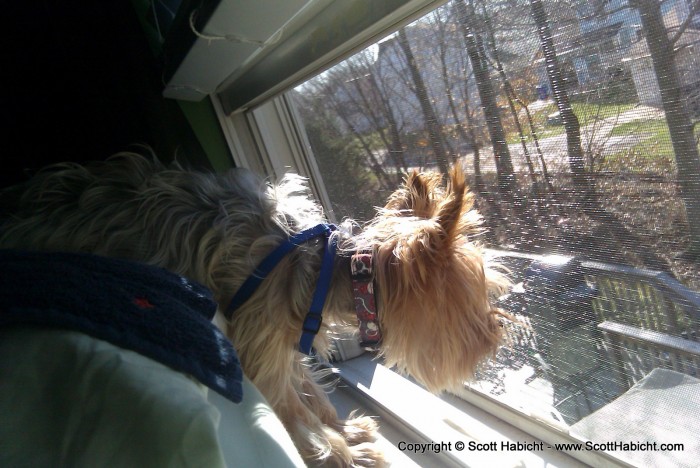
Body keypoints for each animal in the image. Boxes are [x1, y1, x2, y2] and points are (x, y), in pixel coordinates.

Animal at [1, 153, 508, 464]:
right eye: (478, 298)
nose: (495, 338)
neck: (335, 268)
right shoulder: (259, 340)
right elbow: (293, 408)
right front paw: (345, 454)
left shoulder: (283, 342)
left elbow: (312, 393)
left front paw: (344, 432)